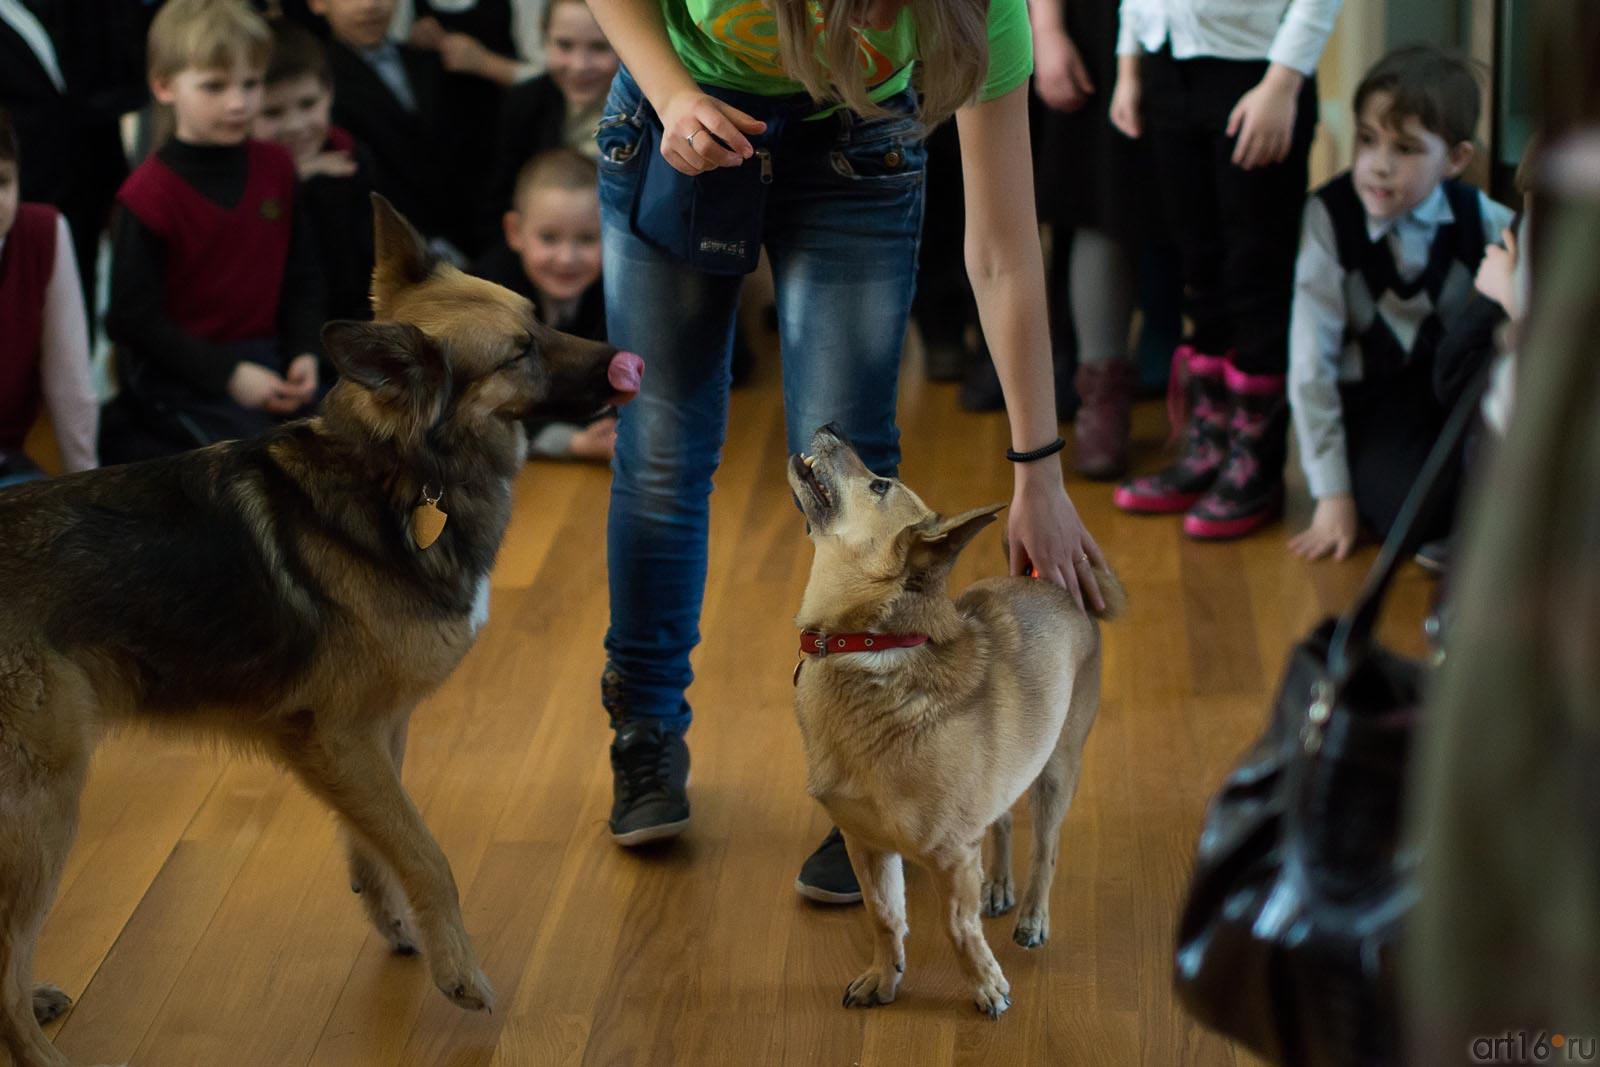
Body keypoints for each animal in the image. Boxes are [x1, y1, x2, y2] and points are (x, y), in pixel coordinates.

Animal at [0, 199, 636, 1067]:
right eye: (521, 350)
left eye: (539, 320)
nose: (626, 361)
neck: (399, 474)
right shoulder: (338, 736)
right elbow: (428, 854)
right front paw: (457, 971)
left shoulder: (376, 734)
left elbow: (377, 846)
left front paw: (399, 927)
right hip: (47, 803)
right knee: (5, 962)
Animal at [780, 425, 1120, 1017]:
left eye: (879, 484)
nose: (831, 428)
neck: (867, 647)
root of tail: (1051, 583)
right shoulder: (867, 846)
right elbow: (885, 917)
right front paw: (884, 979)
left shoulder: (951, 855)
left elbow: (959, 928)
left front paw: (985, 985)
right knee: (1002, 820)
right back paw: (1000, 886)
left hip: (1056, 770)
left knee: (1047, 848)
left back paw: (1032, 916)